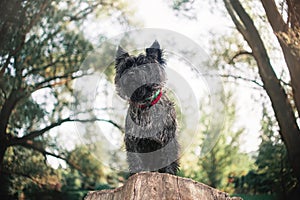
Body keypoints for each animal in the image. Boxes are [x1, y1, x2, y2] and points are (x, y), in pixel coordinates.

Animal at [115, 40, 179, 175]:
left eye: (144, 66)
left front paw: (169, 172)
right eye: (126, 66)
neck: (145, 104)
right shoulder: (132, 139)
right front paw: (137, 172)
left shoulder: (167, 138)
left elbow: (168, 156)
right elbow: (135, 158)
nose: (131, 74)